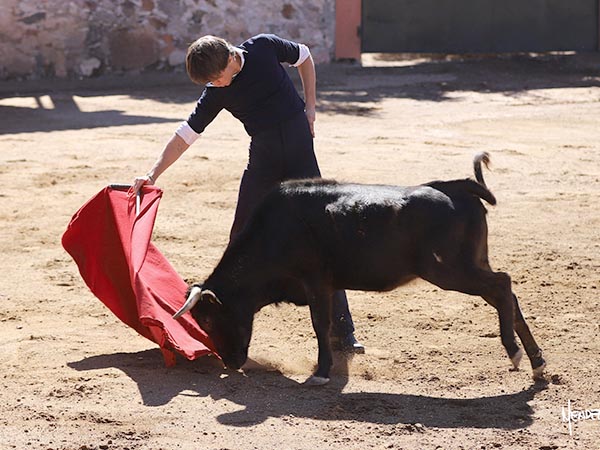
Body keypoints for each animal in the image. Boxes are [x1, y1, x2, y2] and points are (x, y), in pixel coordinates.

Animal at [172, 153, 544, 384]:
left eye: (208, 320)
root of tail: (456, 186)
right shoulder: (326, 285)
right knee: (507, 295)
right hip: (472, 264)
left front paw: (322, 372)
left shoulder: (316, 282)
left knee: (502, 285)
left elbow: (320, 324)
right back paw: (537, 363)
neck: (274, 232)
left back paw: (515, 353)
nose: (230, 363)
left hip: (451, 270)